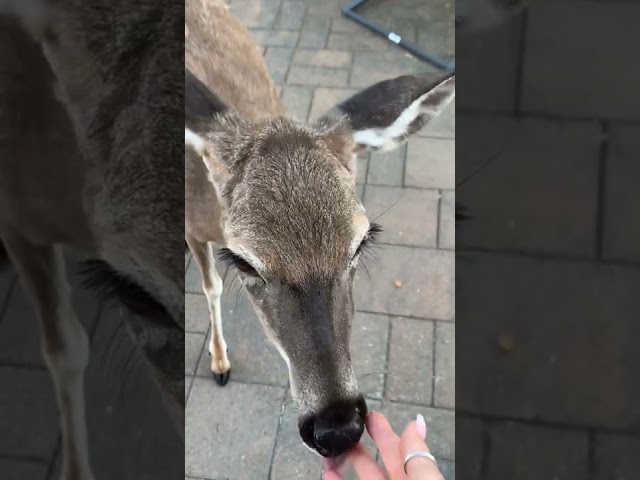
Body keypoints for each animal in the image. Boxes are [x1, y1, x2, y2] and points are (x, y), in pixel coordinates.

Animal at [184, 0, 456, 460]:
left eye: (360, 242)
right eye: (245, 262)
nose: (337, 427)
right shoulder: (190, 227)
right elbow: (212, 286)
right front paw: (220, 362)